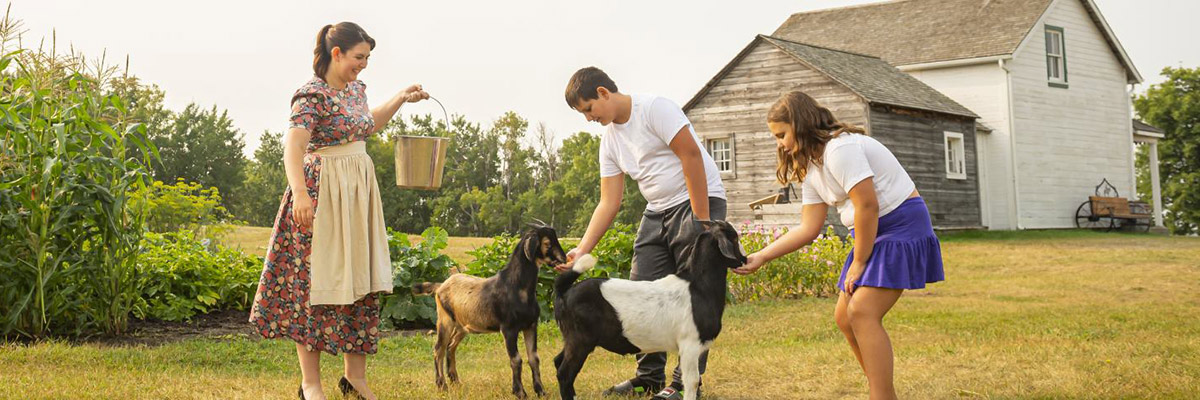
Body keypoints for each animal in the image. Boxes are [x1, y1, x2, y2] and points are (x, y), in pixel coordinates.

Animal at [412, 222, 566, 396]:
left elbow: (534, 358)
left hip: (462, 326)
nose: (564, 259)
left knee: (451, 347)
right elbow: (516, 360)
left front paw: (540, 391)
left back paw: (456, 381)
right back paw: (442, 386)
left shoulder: (530, 326)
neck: (516, 286)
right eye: (547, 243)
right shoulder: (509, 329)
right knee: (439, 349)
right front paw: (520, 392)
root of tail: (440, 286)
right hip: (445, 320)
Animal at [554, 219, 744, 398]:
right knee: (565, 373)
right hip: (580, 340)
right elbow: (692, 381)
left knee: (557, 361)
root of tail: (564, 291)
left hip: (571, 338)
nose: (745, 260)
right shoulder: (690, 345)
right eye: (734, 237)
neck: (697, 286)